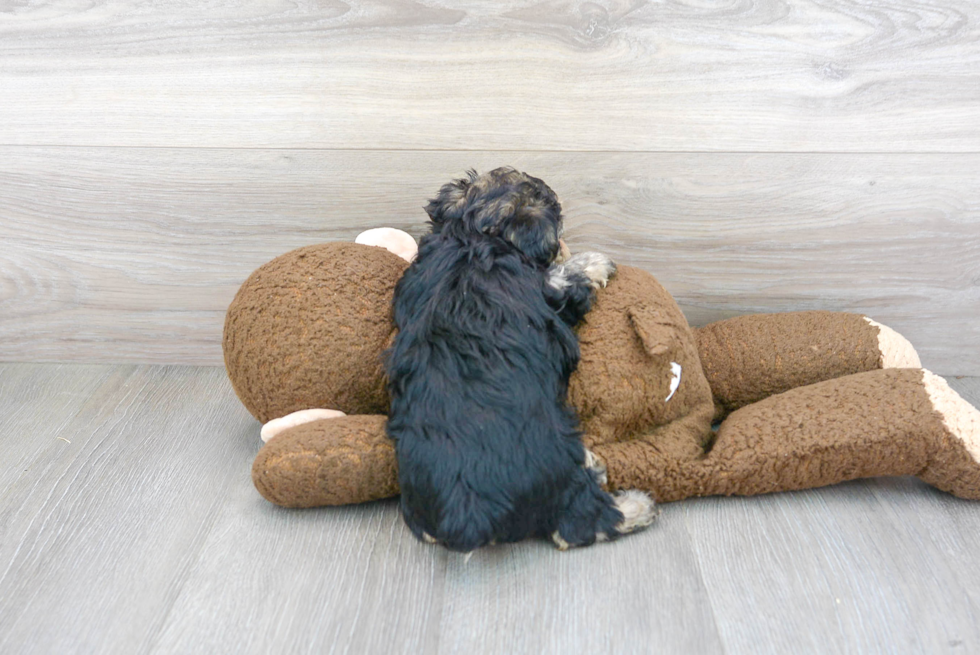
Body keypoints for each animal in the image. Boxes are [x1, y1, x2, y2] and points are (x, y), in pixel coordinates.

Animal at [386, 167, 656, 552]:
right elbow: (568, 275)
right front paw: (596, 262)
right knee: (580, 524)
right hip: (559, 471)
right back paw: (635, 504)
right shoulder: (551, 291)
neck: (470, 235)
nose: (563, 244)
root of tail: (468, 515)